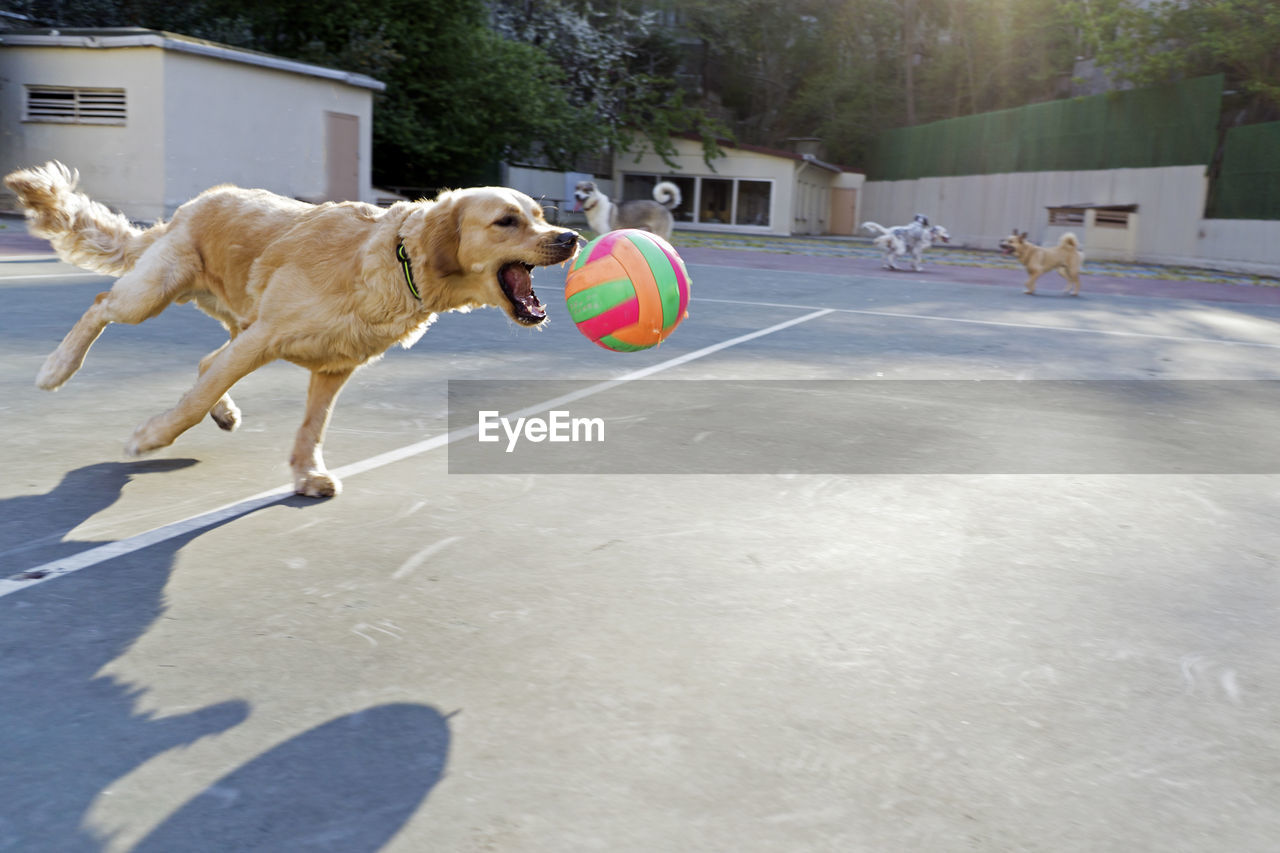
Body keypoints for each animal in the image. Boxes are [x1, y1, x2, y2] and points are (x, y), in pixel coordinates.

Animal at [7, 160, 578, 494]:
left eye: (539, 214)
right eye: (507, 221)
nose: (571, 237)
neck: (399, 264)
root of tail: (192, 205)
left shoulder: (333, 367)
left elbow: (311, 426)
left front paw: (306, 473)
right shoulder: (265, 338)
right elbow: (189, 404)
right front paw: (149, 438)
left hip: (234, 320)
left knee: (206, 361)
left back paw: (225, 412)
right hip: (154, 294)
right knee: (102, 305)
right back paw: (57, 367)